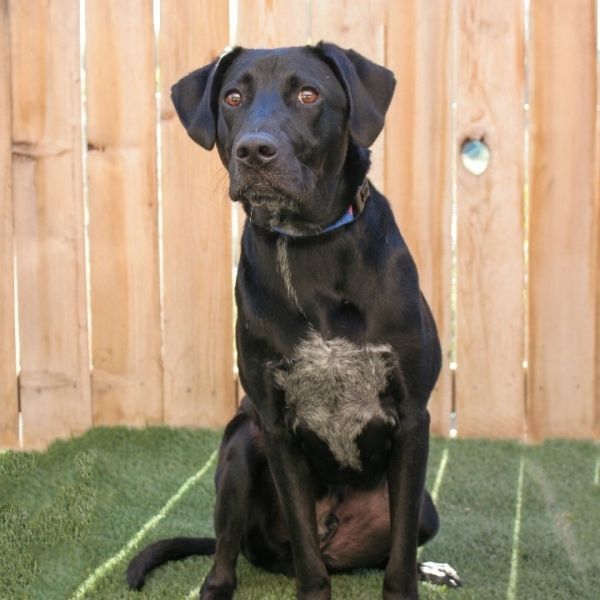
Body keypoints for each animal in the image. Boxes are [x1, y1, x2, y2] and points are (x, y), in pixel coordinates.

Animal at [129, 43, 460, 600]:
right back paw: (216, 584)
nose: (253, 151)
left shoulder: (414, 418)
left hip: (427, 510)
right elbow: (309, 559)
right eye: (233, 98)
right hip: (241, 444)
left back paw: (429, 568)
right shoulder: (276, 426)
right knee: (227, 548)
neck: (311, 246)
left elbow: (397, 560)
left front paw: (411, 580)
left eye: (308, 94)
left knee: (400, 542)